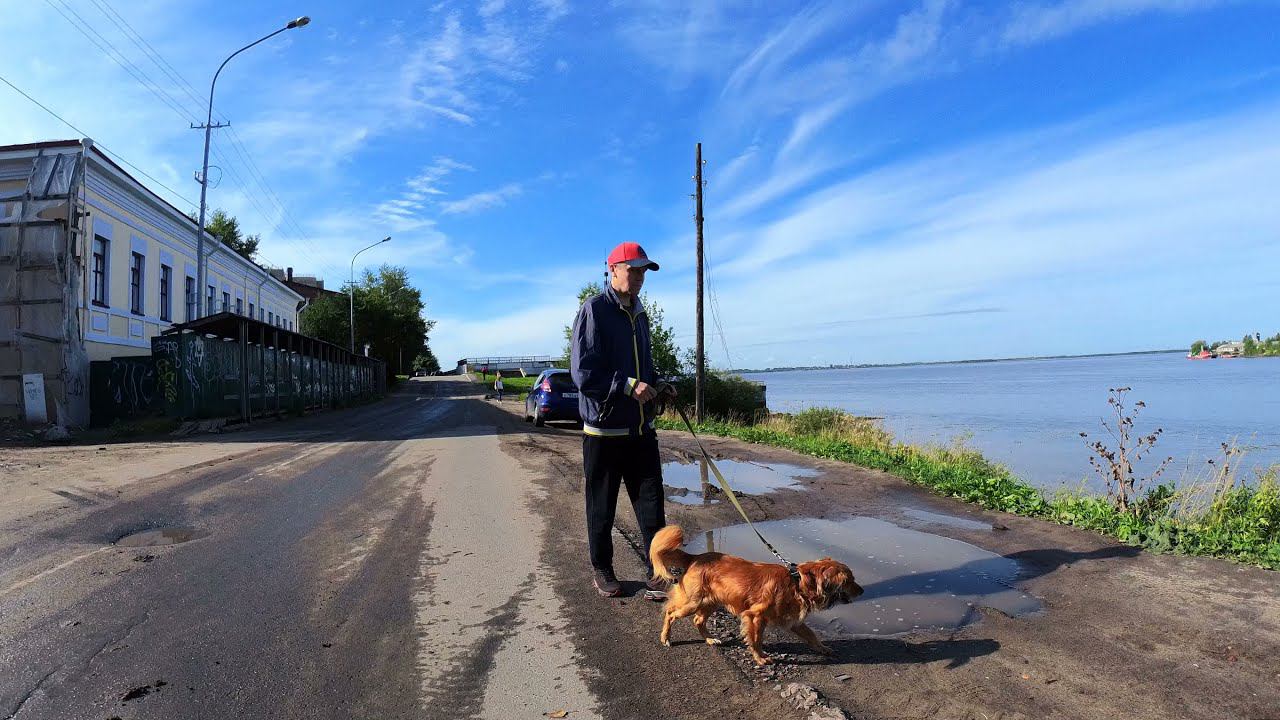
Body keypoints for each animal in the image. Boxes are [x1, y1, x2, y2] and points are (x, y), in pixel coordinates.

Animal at [649, 525, 863, 666]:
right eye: (849, 580)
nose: (862, 591)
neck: (797, 581)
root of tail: (695, 557)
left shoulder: (793, 620)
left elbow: (811, 635)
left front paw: (823, 649)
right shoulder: (754, 616)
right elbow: (756, 639)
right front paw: (760, 657)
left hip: (711, 602)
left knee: (698, 620)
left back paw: (710, 639)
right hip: (692, 602)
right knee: (670, 613)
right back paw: (666, 638)